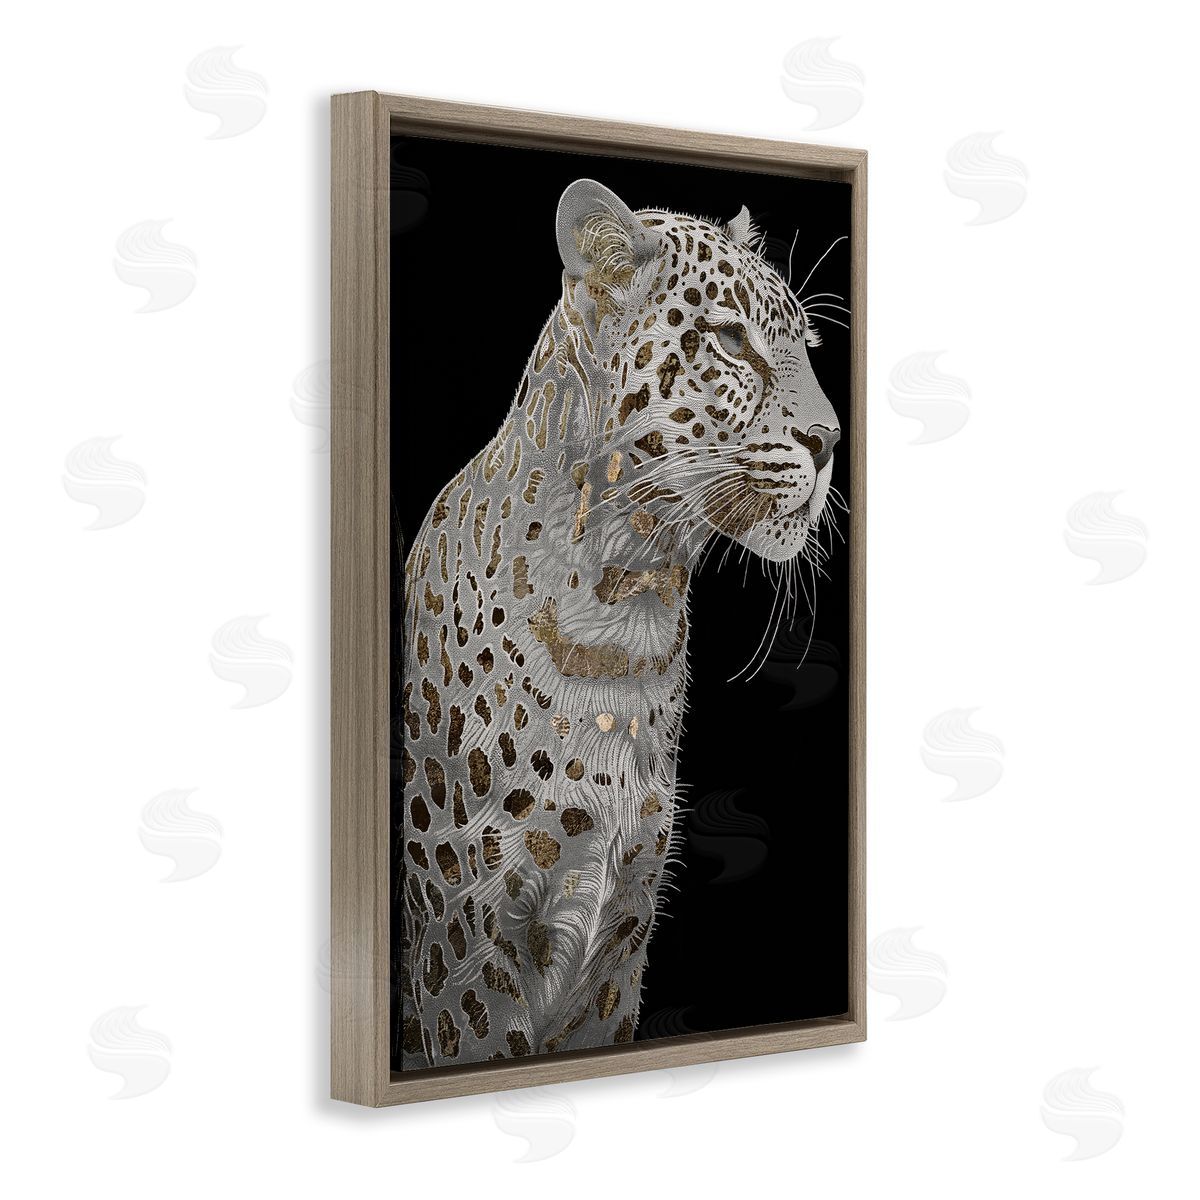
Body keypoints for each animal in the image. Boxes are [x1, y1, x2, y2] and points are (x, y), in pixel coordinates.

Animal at [398, 178, 843, 1068]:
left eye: (804, 343)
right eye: (732, 340)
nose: (831, 440)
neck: (628, 607)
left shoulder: (621, 939)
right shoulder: (466, 954)